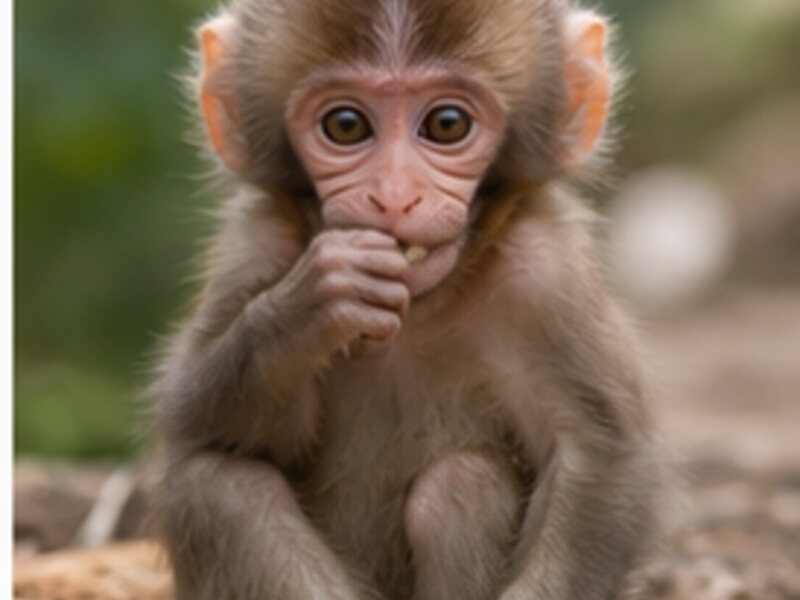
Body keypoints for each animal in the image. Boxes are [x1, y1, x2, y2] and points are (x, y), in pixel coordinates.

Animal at [148, 0, 665, 599]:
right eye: (345, 126)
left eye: (448, 124)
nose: (395, 198)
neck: (424, 301)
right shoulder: (252, 248)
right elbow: (195, 415)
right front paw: (309, 307)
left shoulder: (547, 275)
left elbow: (598, 455)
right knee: (217, 486)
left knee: (460, 486)